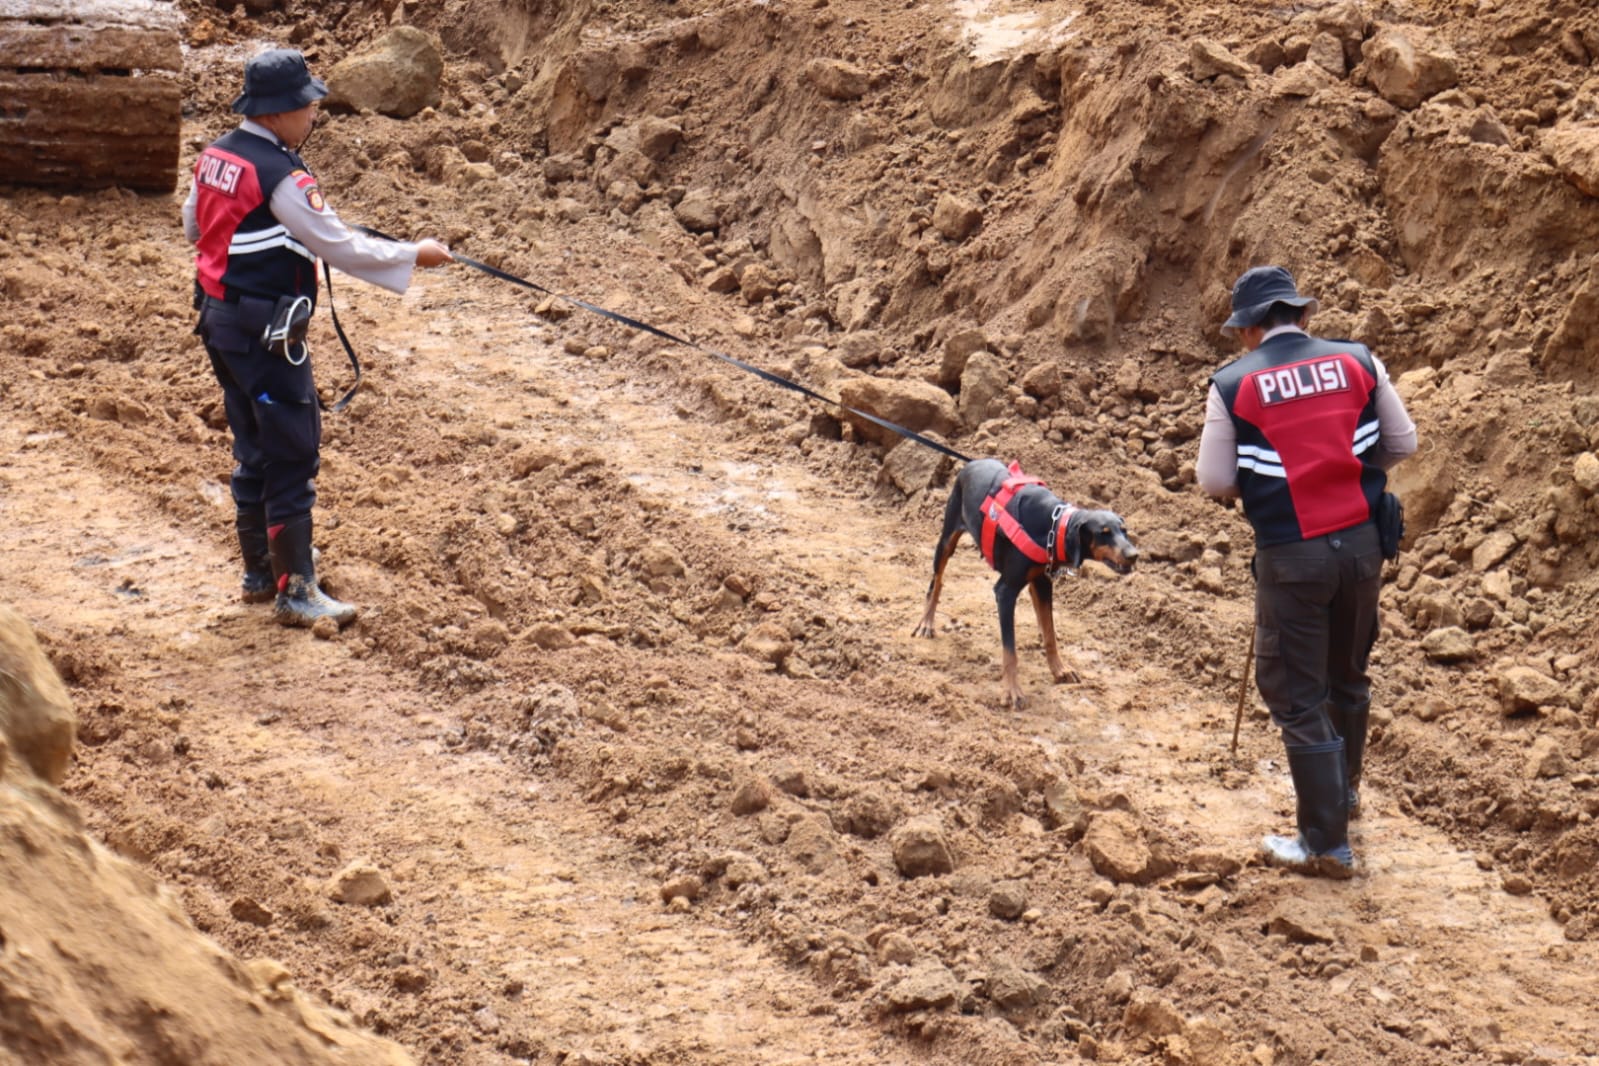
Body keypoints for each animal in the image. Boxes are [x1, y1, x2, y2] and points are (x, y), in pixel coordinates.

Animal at [914, 460, 1138, 709]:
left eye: (1124, 531)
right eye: (1103, 533)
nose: (1134, 555)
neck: (1054, 525)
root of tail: (972, 462)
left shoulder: (1044, 580)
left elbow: (1050, 633)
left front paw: (1059, 669)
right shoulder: (1005, 591)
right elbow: (1010, 651)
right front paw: (1012, 691)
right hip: (947, 537)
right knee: (937, 581)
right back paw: (926, 622)